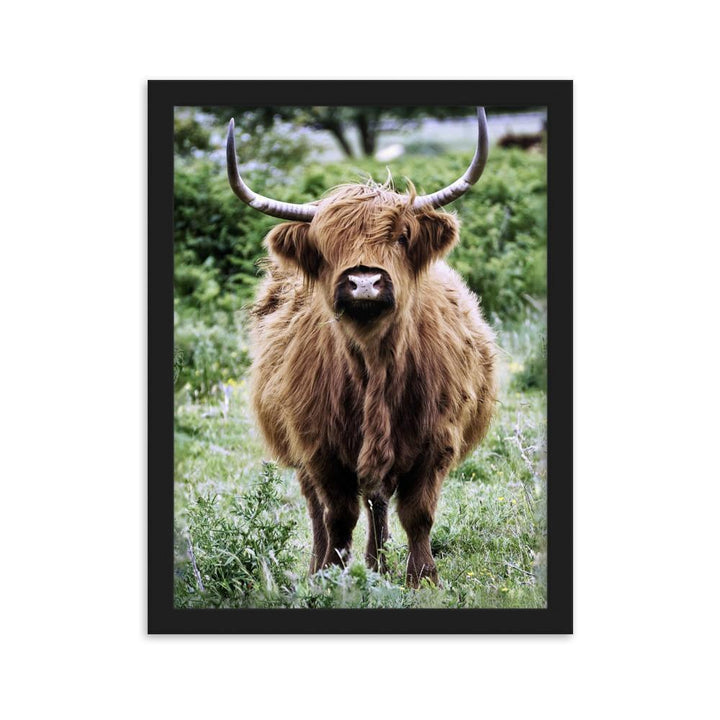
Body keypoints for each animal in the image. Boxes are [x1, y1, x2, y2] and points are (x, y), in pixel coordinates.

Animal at [226, 108, 497, 587]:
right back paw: (327, 565)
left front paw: (421, 578)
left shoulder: (437, 442)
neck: (375, 365)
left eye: (402, 237)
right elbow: (337, 515)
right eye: (326, 245)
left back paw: (378, 563)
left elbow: (417, 513)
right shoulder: (319, 448)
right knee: (321, 508)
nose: (365, 282)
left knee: (378, 500)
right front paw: (332, 577)